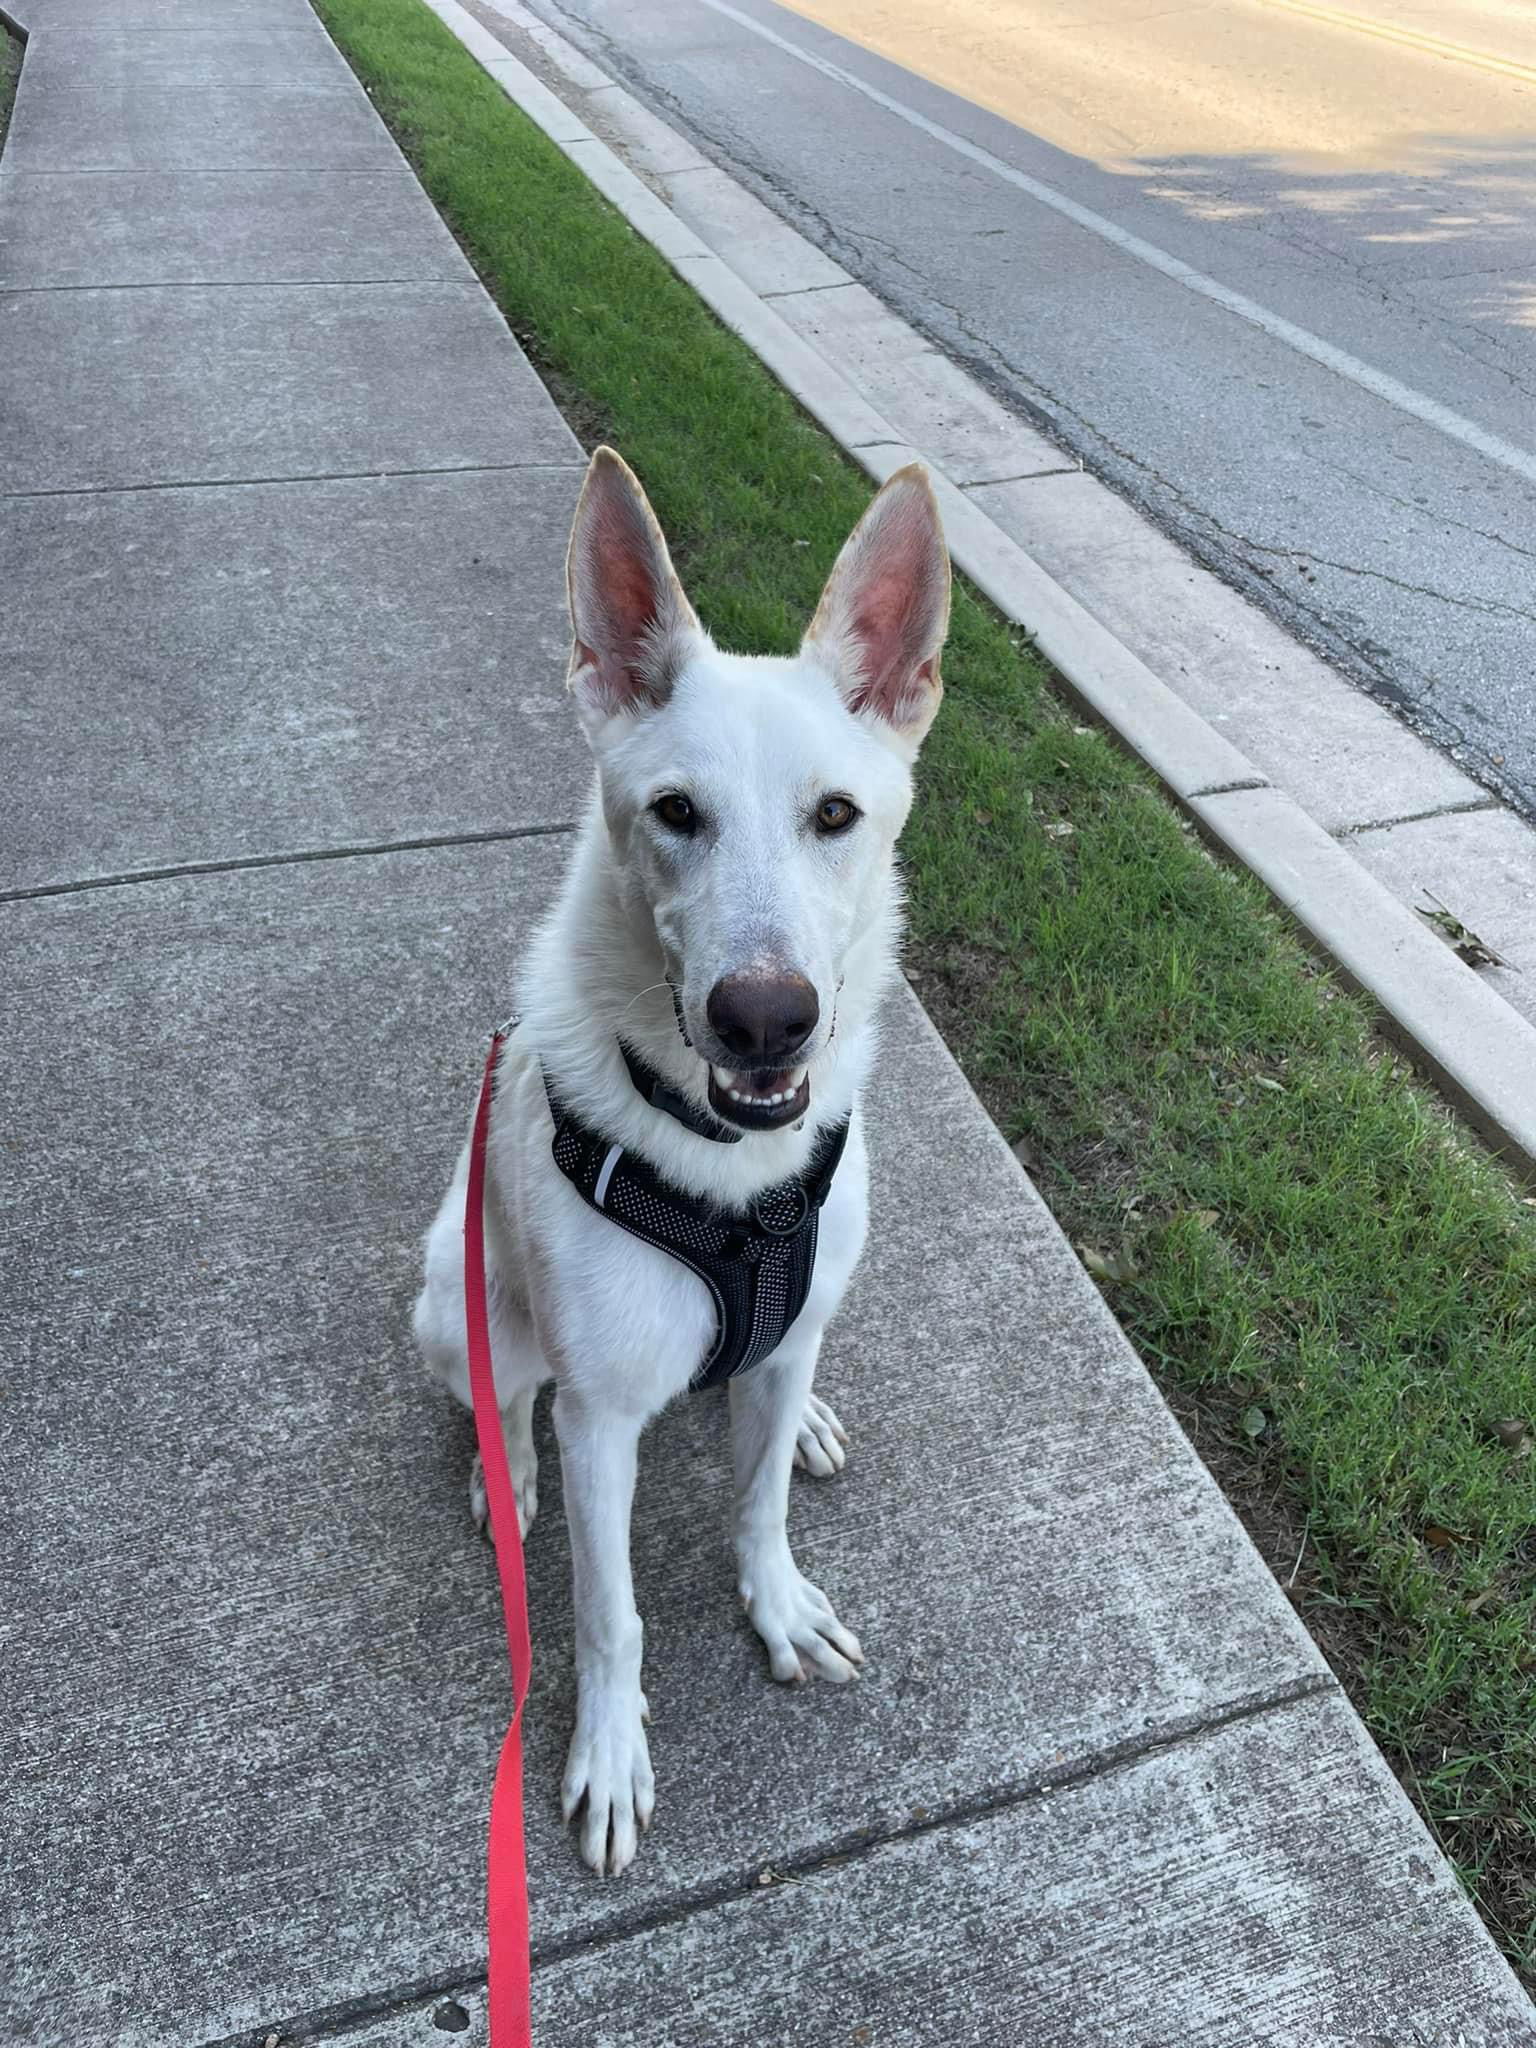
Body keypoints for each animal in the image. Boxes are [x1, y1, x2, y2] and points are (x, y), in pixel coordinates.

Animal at [415, 448, 946, 1875]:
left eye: (837, 814)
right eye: (674, 813)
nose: (765, 1019)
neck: (732, 1185)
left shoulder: (790, 1315)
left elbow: (756, 1507)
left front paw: (777, 1601)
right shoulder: (604, 1423)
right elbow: (610, 1611)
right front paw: (609, 1748)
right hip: (453, 1299)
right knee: (506, 1396)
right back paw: (507, 1470)